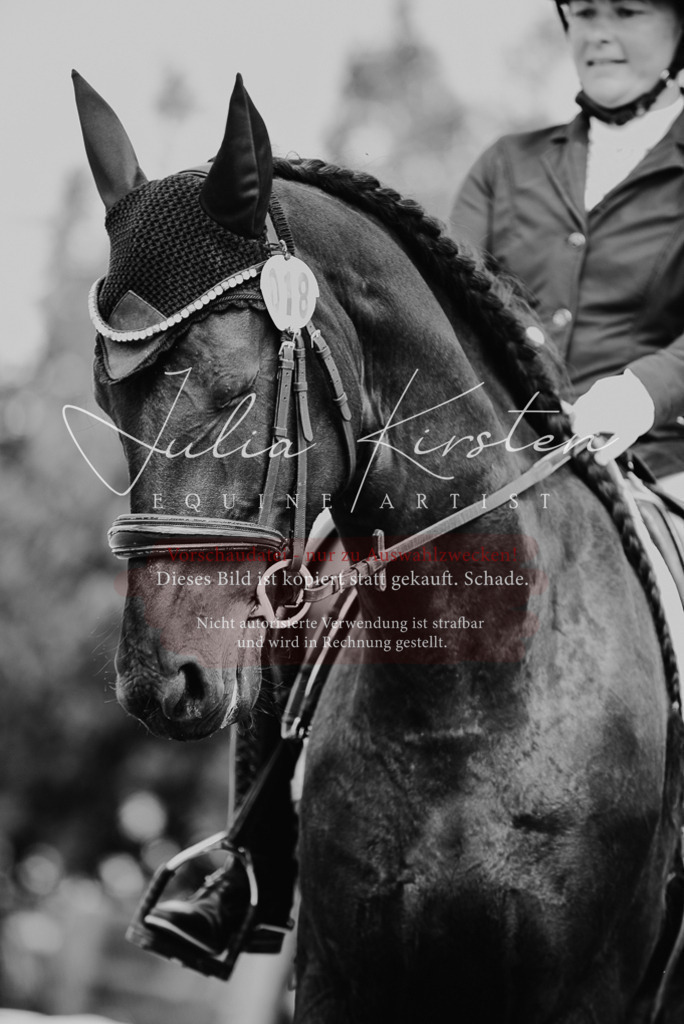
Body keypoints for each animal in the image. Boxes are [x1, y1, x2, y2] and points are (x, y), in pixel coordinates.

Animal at [72, 71, 684, 1023]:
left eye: (233, 386)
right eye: (107, 396)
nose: (157, 682)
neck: (470, 692)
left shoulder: (587, 992)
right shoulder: (343, 976)